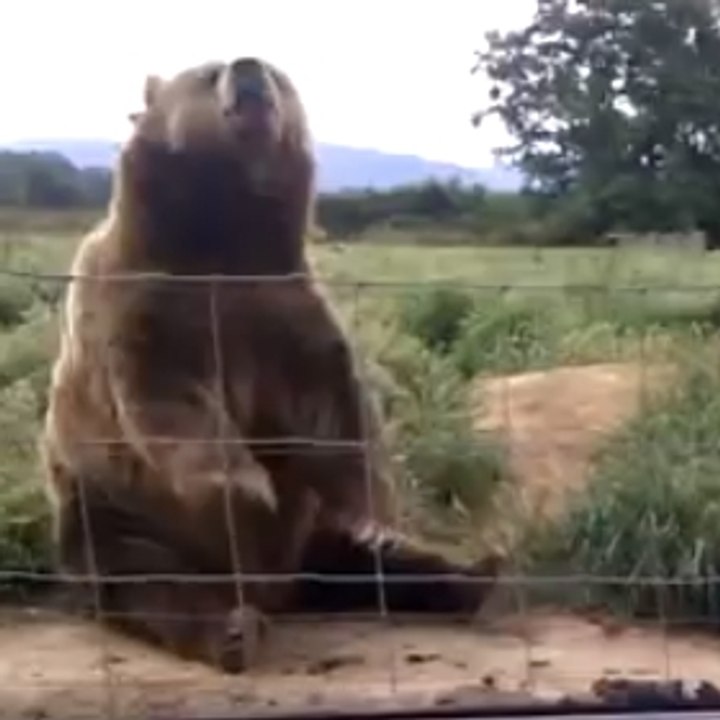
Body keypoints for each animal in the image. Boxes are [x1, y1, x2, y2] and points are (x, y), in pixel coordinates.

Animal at [39, 55, 502, 674]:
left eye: (280, 75)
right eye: (208, 73)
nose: (249, 68)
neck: (225, 237)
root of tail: (274, 587)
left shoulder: (284, 308)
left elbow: (334, 411)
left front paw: (378, 516)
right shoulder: (141, 305)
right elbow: (170, 399)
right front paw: (247, 486)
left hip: (308, 535)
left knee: (360, 561)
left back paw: (473, 573)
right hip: (116, 513)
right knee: (150, 581)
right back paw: (234, 632)